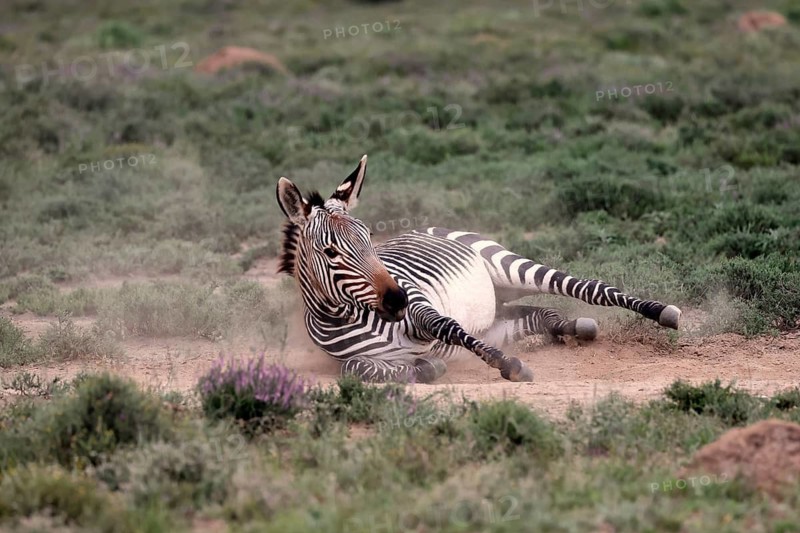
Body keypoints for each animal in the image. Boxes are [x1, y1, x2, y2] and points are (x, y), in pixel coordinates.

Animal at [276, 155, 682, 383]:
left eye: (369, 237)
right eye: (330, 252)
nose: (397, 300)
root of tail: (430, 227)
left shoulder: (423, 307)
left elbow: (449, 328)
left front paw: (509, 366)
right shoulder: (355, 359)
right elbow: (356, 369)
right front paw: (425, 370)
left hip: (508, 266)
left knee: (587, 287)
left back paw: (661, 312)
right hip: (499, 316)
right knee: (540, 315)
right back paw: (571, 326)